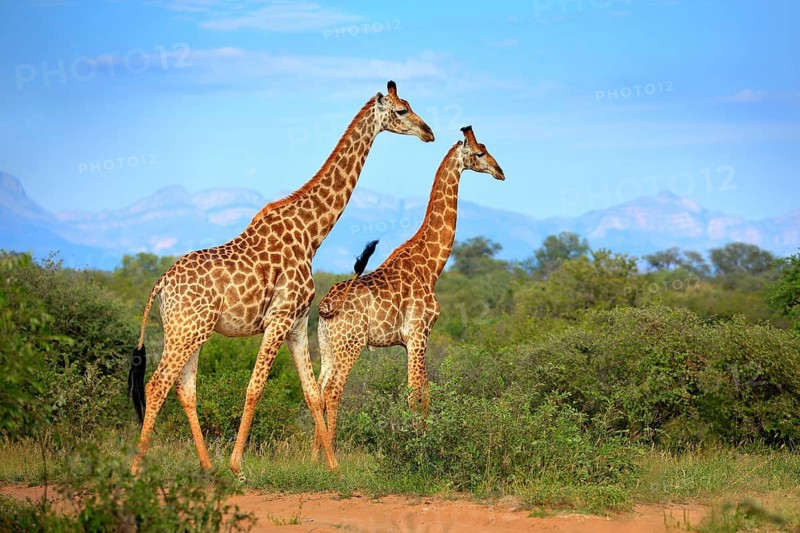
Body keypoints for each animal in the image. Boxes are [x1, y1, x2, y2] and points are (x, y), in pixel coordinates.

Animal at [128, 81, 435, 479]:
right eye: (401, 110)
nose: (428, 132)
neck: (310, 234)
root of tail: (160, 286)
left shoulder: (298, 323)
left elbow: (312, 392)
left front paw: (333, 466)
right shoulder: (278, 318)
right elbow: (255, 387)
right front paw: (237, 465)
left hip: (189, 331)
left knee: (184, 388)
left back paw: (206, 466)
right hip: (187, 329)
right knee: (156, 385)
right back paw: (138, 468)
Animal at [312, 126, 504, 454]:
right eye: (480, 153)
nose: (500, 172)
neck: (431, 265)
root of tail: (326, 306)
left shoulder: (409, 341)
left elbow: (425, 391)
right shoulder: (418, 333)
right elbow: (415, 392)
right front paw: (419, 446)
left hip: (327, 345)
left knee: (319, 389)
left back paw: (313, 455)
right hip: (351, 344)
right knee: (334, 391)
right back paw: (332, 452)